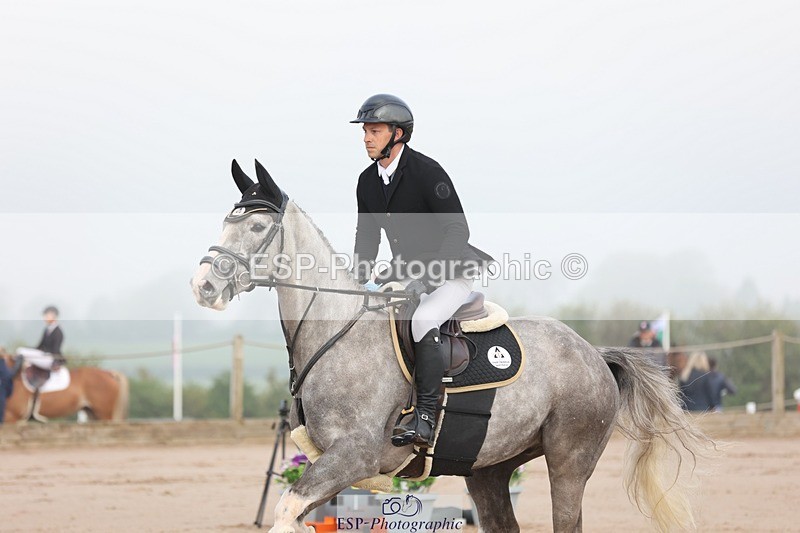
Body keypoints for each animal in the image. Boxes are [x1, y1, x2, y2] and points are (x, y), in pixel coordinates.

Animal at [191, 160, 712, 533]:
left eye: (258, 229)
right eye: (225, 222)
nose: (203, 287)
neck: (336, 331)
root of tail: (594, 354)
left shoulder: (354, 456)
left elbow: (284, 510)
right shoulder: (325, 461)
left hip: (569, 461)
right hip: (489, 470)